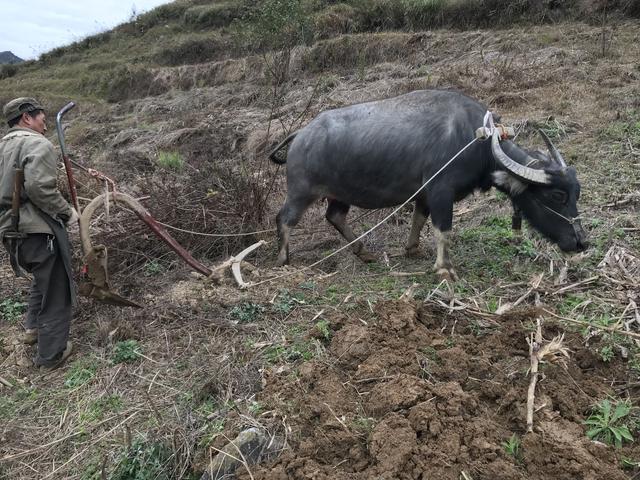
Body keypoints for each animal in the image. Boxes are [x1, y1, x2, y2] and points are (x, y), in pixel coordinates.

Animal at [268, 88, 588, 280]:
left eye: (576, 194)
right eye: (556, 195)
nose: (581, 242)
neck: (477, 141)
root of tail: (300, 134)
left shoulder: (424, 194)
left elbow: (420, 220)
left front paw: (412, 249)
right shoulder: (440, 191)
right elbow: (443, 229)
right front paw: (445, 269)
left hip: (340, 194)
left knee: (334, 216)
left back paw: (364, 252)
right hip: (301, 191)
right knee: (284, 219)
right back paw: (283, 259)